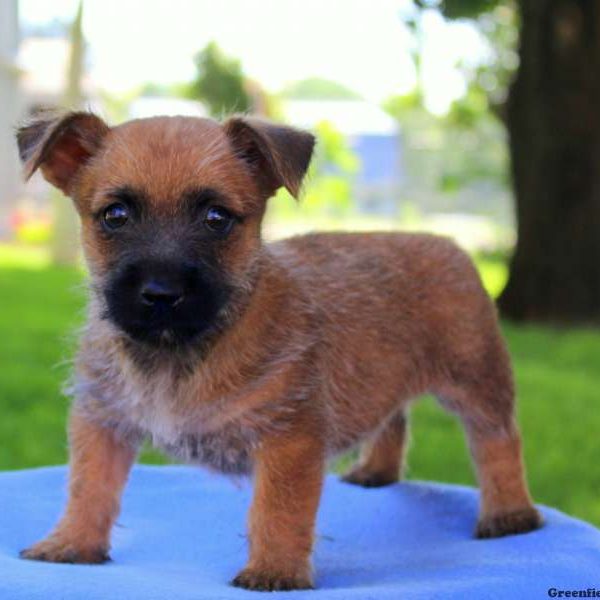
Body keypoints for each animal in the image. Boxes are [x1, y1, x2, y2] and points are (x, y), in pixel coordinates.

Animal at [15, 111, 544, 592]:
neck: (180, 353)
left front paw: (275, 571)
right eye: (115, 215)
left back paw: (510, 513)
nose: (161, 292)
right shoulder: (102, 421)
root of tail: (445, 243)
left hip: (477, 379)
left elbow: (278, 510)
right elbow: (89, 486)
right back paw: (375, 472)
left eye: (216, 218)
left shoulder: (289, 438)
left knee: (498, 440)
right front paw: (72, 543)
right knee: (392, 415)